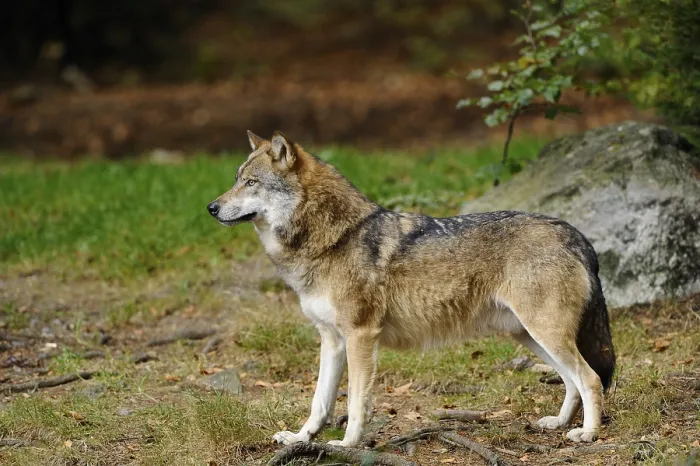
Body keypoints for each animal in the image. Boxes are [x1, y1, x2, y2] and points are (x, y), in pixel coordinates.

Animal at [207, 131, 616, 447]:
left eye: (251, 183)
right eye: (236, 179)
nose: (211, 207)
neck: (335, 238)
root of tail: (573, 232)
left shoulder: (360, 336)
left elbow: (355, 402)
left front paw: (347, 444)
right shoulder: (332, 339)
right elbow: (319, 402)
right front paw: (300, 439)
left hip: (545, 334)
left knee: (591, 379)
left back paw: (587, 434)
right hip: (531, 337)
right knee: (572, 382)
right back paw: (560, 424)